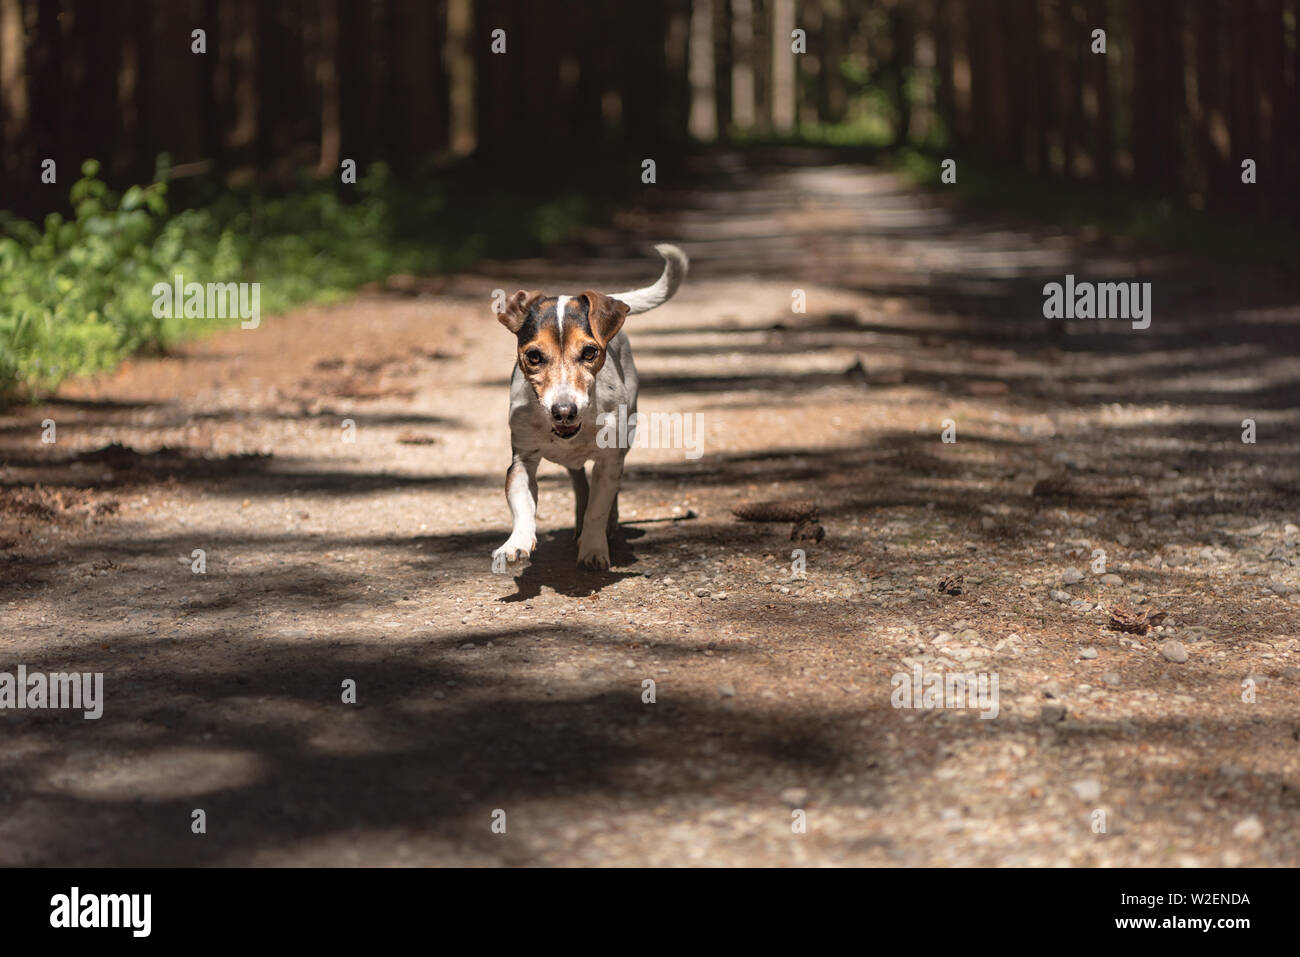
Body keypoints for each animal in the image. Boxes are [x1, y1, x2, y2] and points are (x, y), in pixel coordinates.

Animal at [488, 244, 691, 566]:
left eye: (589, 352)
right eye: (533, 356)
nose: (564, 411)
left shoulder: (609, 461)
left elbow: (599, 507)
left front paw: (593, 549)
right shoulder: (521, 460)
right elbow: (522, 506)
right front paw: (515, 543)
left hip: (626, 437)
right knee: (578, 481)